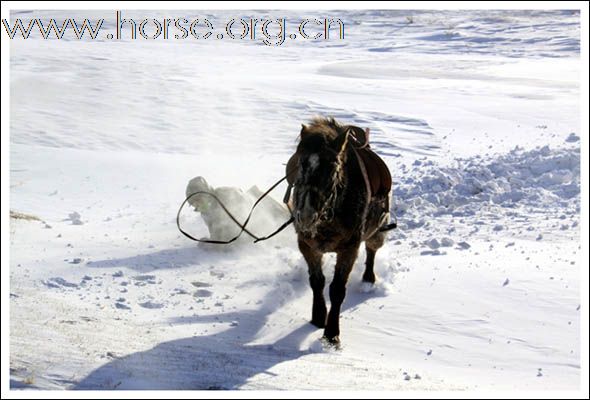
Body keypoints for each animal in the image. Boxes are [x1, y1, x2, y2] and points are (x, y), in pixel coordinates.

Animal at [286, 117, 394, 346]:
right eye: (300, 163)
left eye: (333, 167)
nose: (306, 215)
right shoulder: (307, 245)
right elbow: (317, 281)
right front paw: (318, 316)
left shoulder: (349, 248)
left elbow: (336, 290)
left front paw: (331, 334)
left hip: (378, 229)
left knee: (372, 249)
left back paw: (368, 279)